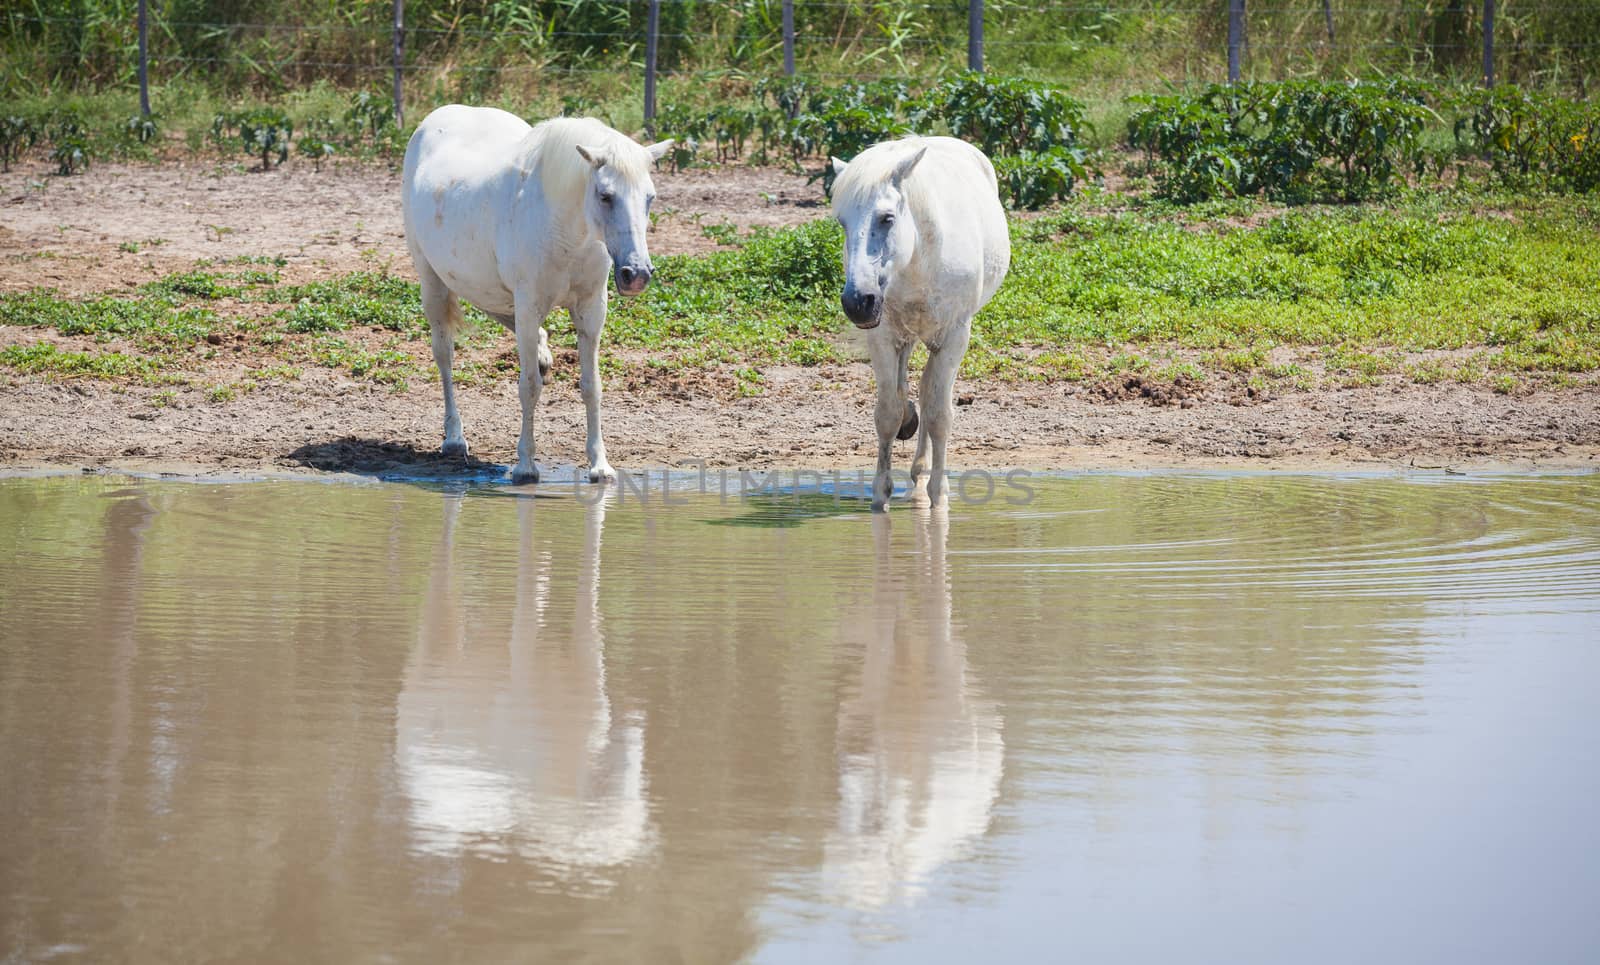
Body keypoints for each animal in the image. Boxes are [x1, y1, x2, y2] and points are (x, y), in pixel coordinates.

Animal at [406, 107, 675, 483]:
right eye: (605, 196)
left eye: (650, 198)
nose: (636, 274)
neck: (566, 233)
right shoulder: (529, 304)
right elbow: (529, 385)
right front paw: (525, 466)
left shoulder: (591, 308)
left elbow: (591, 386)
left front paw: (600, 466)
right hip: (432, 282)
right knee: (444, 354)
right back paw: (454, 438)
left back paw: (544, 355)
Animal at [832, 140, 1004, 512]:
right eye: (842, 222)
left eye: (887, 218)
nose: (857, 301)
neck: (917, 260)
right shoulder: (882, 335)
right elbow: (887, 412)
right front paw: (880, 495)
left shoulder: (954, 337)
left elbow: (939, 415)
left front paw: (939, 495)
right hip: (906, 333)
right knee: (909, 387)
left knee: (928, 393)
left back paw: (921, 478)